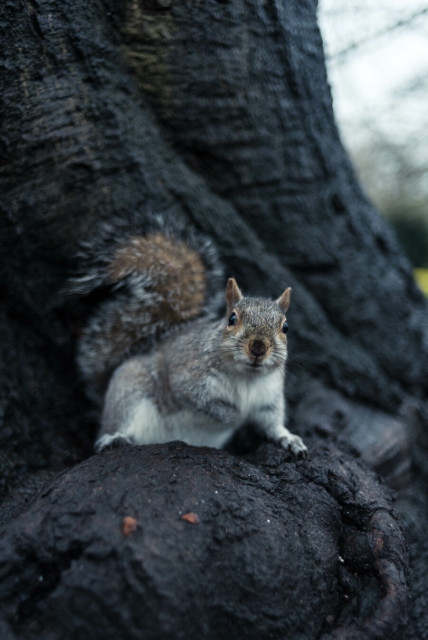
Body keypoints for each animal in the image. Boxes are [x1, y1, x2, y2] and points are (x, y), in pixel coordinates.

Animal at [73, 216, 307, 457]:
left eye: (285, 327)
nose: (258, 347)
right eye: (232, 319)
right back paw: (114, 437)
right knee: (116, 424)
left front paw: (288, 438)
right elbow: (205, 403)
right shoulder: (187, 378)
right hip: (127, 392)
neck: (247, 378)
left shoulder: (269, 398)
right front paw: (235, 416)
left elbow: (273, 424)